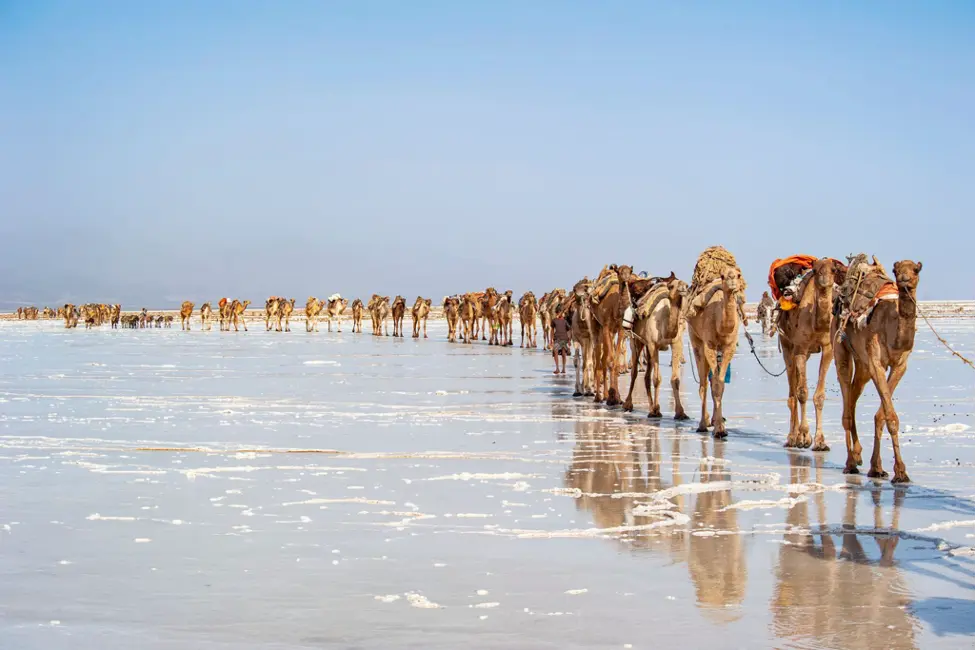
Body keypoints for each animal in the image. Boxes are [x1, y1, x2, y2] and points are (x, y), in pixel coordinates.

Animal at [589, 265, 633, 405]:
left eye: (630, 271)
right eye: (619, 272)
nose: (626, 278)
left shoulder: (620, 329)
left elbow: (615, 362)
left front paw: (616, 397)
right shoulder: (606, 326)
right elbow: (610, 360)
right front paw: (612, 398)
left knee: (603, 359)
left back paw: (605, 394)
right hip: (596, 327)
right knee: (598, 357)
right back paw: (598, 397)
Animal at [622, 273, 689, 419]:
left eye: (686, 285)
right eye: (672, 286)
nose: (683, 288)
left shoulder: (676, 343)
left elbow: (675, 379)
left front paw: (680, 412)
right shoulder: (654, 344)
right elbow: (657, 379)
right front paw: (656, 411)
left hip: (647, 346)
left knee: (646, 376)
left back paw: (650, 406)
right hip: (636, 341)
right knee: (635, 372)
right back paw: (628, 405)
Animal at [686, 248, 747, 437]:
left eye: (738, 274)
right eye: (722, 275)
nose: (732, 279)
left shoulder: (728, 347)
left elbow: (720, 384)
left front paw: (720, 427)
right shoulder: (709, 345)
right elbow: (713, 385)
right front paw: (718, 429)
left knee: (712, 380)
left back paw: (712, 420)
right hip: (695, 339)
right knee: (703, 382)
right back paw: (703, 424)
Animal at [833, 258, 922, 483]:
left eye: (916, 269)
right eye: (896, 270)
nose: (904, 280)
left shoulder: (900, 365)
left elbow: (882, 415)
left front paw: (879, 468)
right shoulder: (876, 362)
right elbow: (890, 416)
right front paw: (900, 472)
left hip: (862, 362)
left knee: (853, 398)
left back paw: (857, 456)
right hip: (840, 345)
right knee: (846, 401)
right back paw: (850, 463)